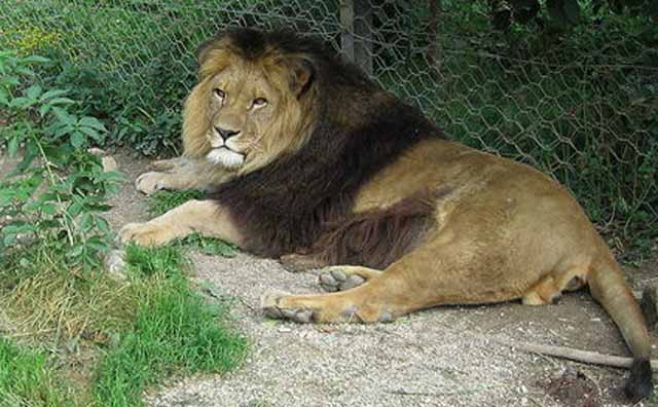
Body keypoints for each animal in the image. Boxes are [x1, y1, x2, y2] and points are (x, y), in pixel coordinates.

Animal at [120, 28, 653, 401]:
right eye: (220, 93)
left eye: (259, 102)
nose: (223, 132)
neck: (291, 141)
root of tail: (589, 234)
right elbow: (198, 172)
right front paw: (162, 172)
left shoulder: (275, 216)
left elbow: (193, 208)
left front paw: (142, 228)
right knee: (386, 282)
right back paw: (337, 275)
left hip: (466, 249)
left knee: (380, 301)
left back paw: (297, 304)